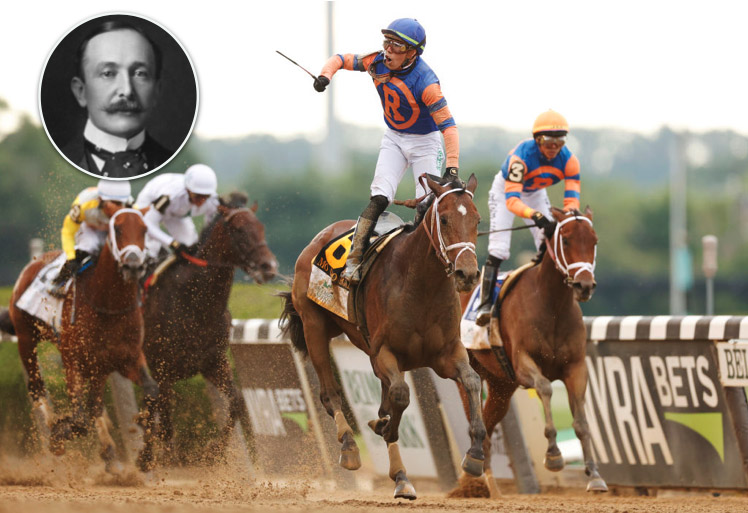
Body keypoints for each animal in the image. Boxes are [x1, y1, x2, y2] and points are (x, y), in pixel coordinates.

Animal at [6, 208, 156, 472]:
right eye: (117, 229)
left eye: (144, 229)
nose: (133, 265)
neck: (108, 305)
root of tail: (33, 262)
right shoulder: (73, 360)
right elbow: (79, 419)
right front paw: (58, 433)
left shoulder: (126, 358)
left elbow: (151, 392)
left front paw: (146, 456)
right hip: (26, 338)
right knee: (36, 387)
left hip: (97, 366)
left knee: (95, 404)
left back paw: (109, 453)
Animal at [142, 191, 278, 460]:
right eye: (238, 230)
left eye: (261, 228)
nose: (269, 267)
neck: (194, 302)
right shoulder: (161, 368)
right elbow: (164, 423)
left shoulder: (213, 362)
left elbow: (237, 401)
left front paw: (213, 450)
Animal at [284, 176, 488, 500]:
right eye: (444, 219)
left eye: (477, 219)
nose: (466, 274)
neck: (421, 286)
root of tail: (318, 237)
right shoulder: (383, 353)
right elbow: (401, 395)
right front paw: (385, 428)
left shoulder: (447, 354)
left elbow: (472, 381)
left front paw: (476, 454)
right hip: (313, 326)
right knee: (330, 394)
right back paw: (351, 447)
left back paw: (400, 474)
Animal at [458, 207, 612, 496]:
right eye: (566, 240)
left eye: (594, 241)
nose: (584, 285)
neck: (552, 306)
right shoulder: (523, 364)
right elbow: (545, 388)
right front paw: (553, 454)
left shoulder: (576, 368)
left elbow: (582, 421)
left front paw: (595, 475)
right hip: (470, 372)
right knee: (475, 418)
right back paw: (476, 473)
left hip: (501, 386)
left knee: (489, 423)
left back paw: (485, 481)